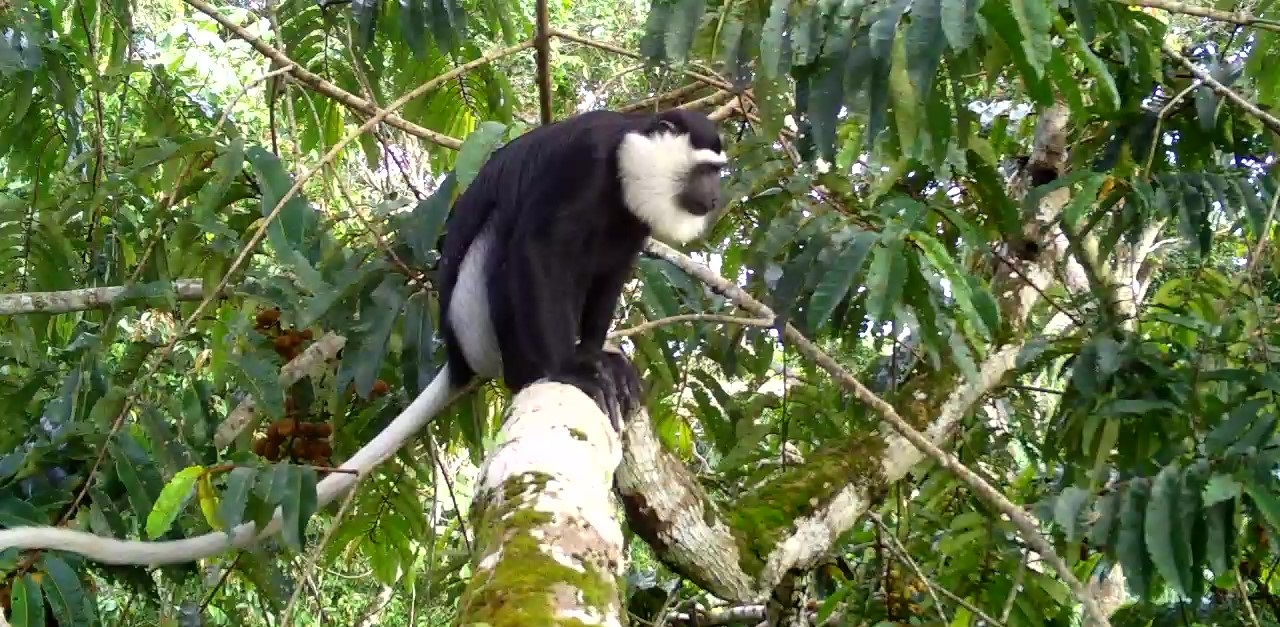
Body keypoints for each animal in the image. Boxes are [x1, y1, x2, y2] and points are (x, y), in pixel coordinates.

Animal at [424, 108, 727, 427]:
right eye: (705, 171)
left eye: (717, 172)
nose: (714, 199)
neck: (625, 154)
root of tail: (458, 358)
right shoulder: (584, 160)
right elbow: (541, 246)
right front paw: (571, 368)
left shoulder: (635, 215)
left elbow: (612, 268)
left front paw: (596, 357)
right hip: (475, 320)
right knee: (504, 234)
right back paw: (527, 371)